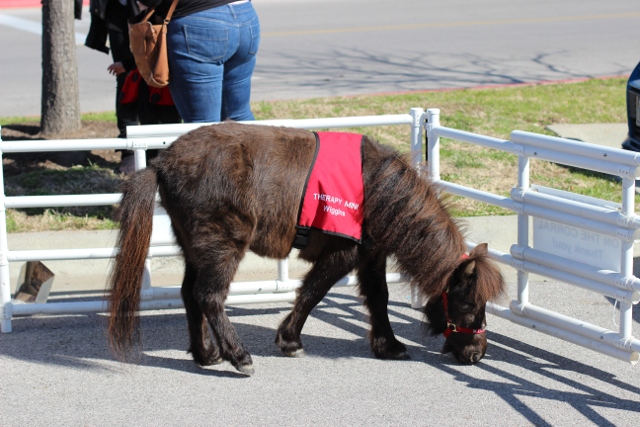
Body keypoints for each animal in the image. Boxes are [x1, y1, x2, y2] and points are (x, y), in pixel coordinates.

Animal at [107, 122, 502, 376]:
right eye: (468, 304)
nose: (476, 354)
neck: (377, 188)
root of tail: (163, 161)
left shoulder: (371, 256)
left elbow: (379, 297)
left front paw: (387, 345)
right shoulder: (344, 253)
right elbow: (313, 292)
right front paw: (290, 340)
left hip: (195, 247)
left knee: (191, 294)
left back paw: (206, 355)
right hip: (221, 245)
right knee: (209, 295)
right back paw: (239, 356)